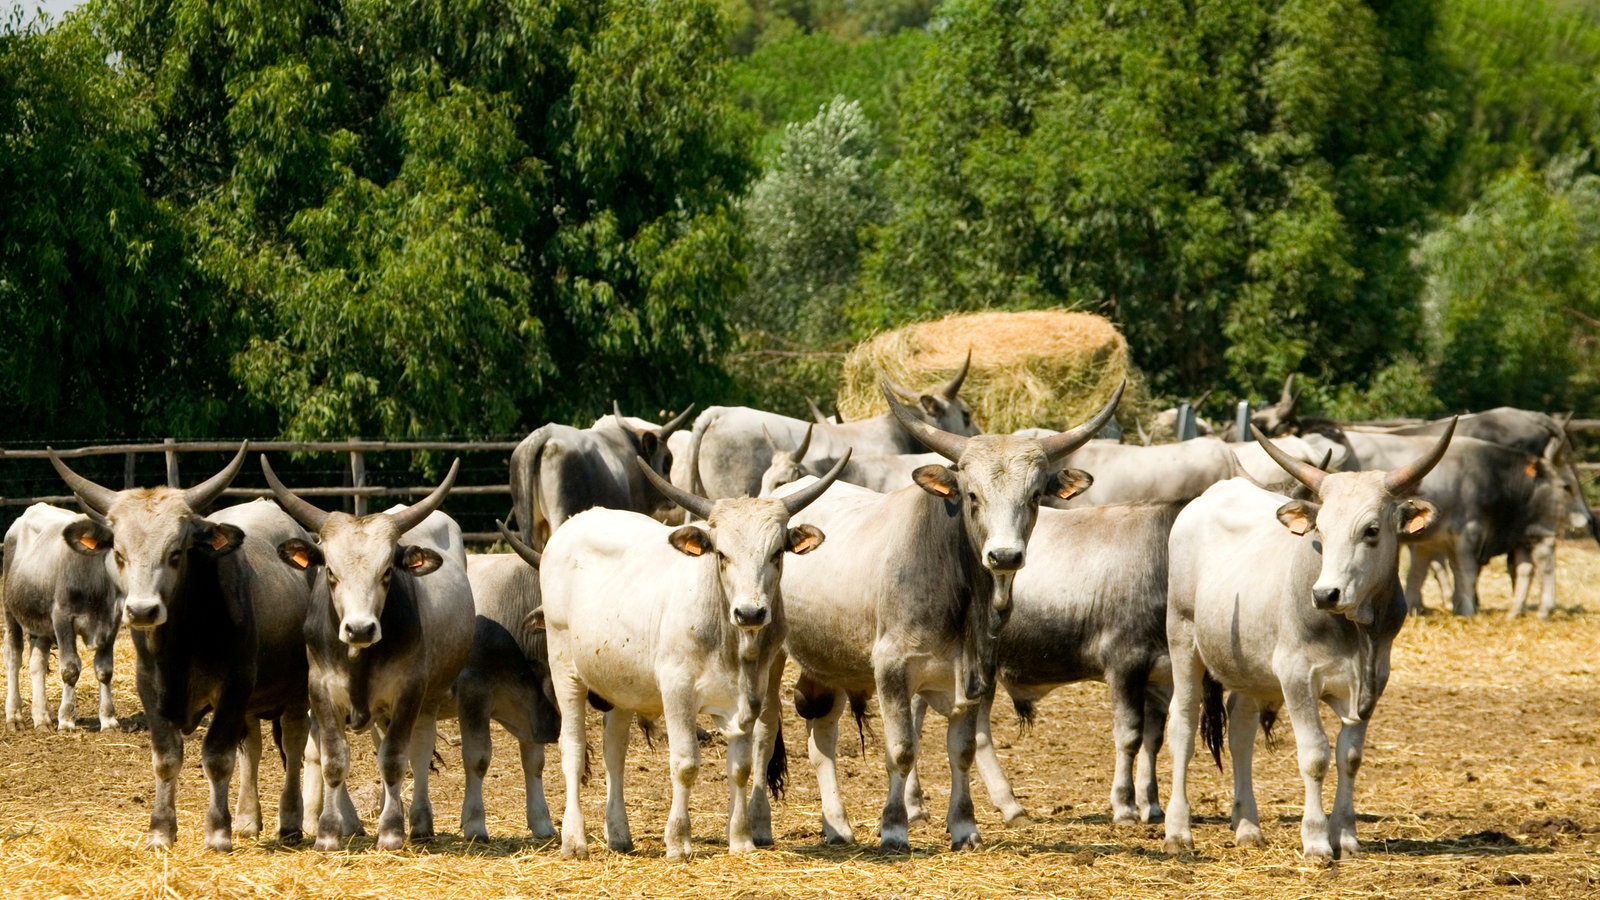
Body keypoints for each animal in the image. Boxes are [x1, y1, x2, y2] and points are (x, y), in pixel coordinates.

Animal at [3, 499, 121, 733]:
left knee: (37, 663)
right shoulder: (62, 619)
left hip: (40, 624)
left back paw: (41, 718)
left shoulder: (112, 622)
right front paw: (66, 720)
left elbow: (105, 670)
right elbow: (70, 669)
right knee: (13, 656)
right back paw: (15, 716)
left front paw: (108, 720)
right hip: (11, 611)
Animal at [262, 454, 470, 845]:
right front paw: (329, 832)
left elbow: (395, 759)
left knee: (417, 753)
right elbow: (333, 759)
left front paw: (390, 831)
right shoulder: (320, 689)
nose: (360, 628)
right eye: (330, 571)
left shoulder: (409, 690)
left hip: (428, 698)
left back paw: (419, 823)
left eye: (387, 571)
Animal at [752, 381, 1120, 851]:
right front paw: (894, 828)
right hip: (770, 655)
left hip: (827, 661)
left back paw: (836, 825)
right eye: (972, 495)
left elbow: (962, 749)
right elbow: (902, 749)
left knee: (822, 737)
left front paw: (964, 826)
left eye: (1035, 496)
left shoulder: (977, 672)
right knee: (764, 731)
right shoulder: (891, 668)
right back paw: (760, 825)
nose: (1005, 555)